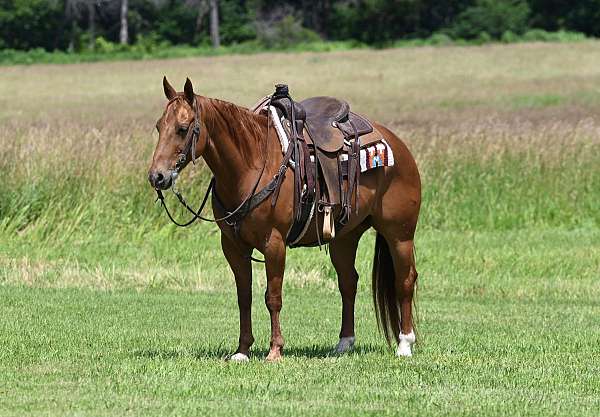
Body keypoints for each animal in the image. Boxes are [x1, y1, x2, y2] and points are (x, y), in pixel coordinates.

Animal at [150, 79, 422, 360]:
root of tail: (397, 145)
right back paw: (344, 343)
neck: (251, 165)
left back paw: (404, 344)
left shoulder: (274, 244)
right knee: (348, 282)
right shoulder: (233, 247)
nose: (157, 176)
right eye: (159, 126)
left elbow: (273, 297)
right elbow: (244, 296)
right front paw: (242, 350)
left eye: (182, 129)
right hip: (344, 238)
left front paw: (275, 349)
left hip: (399, 234)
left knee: (405, 280)